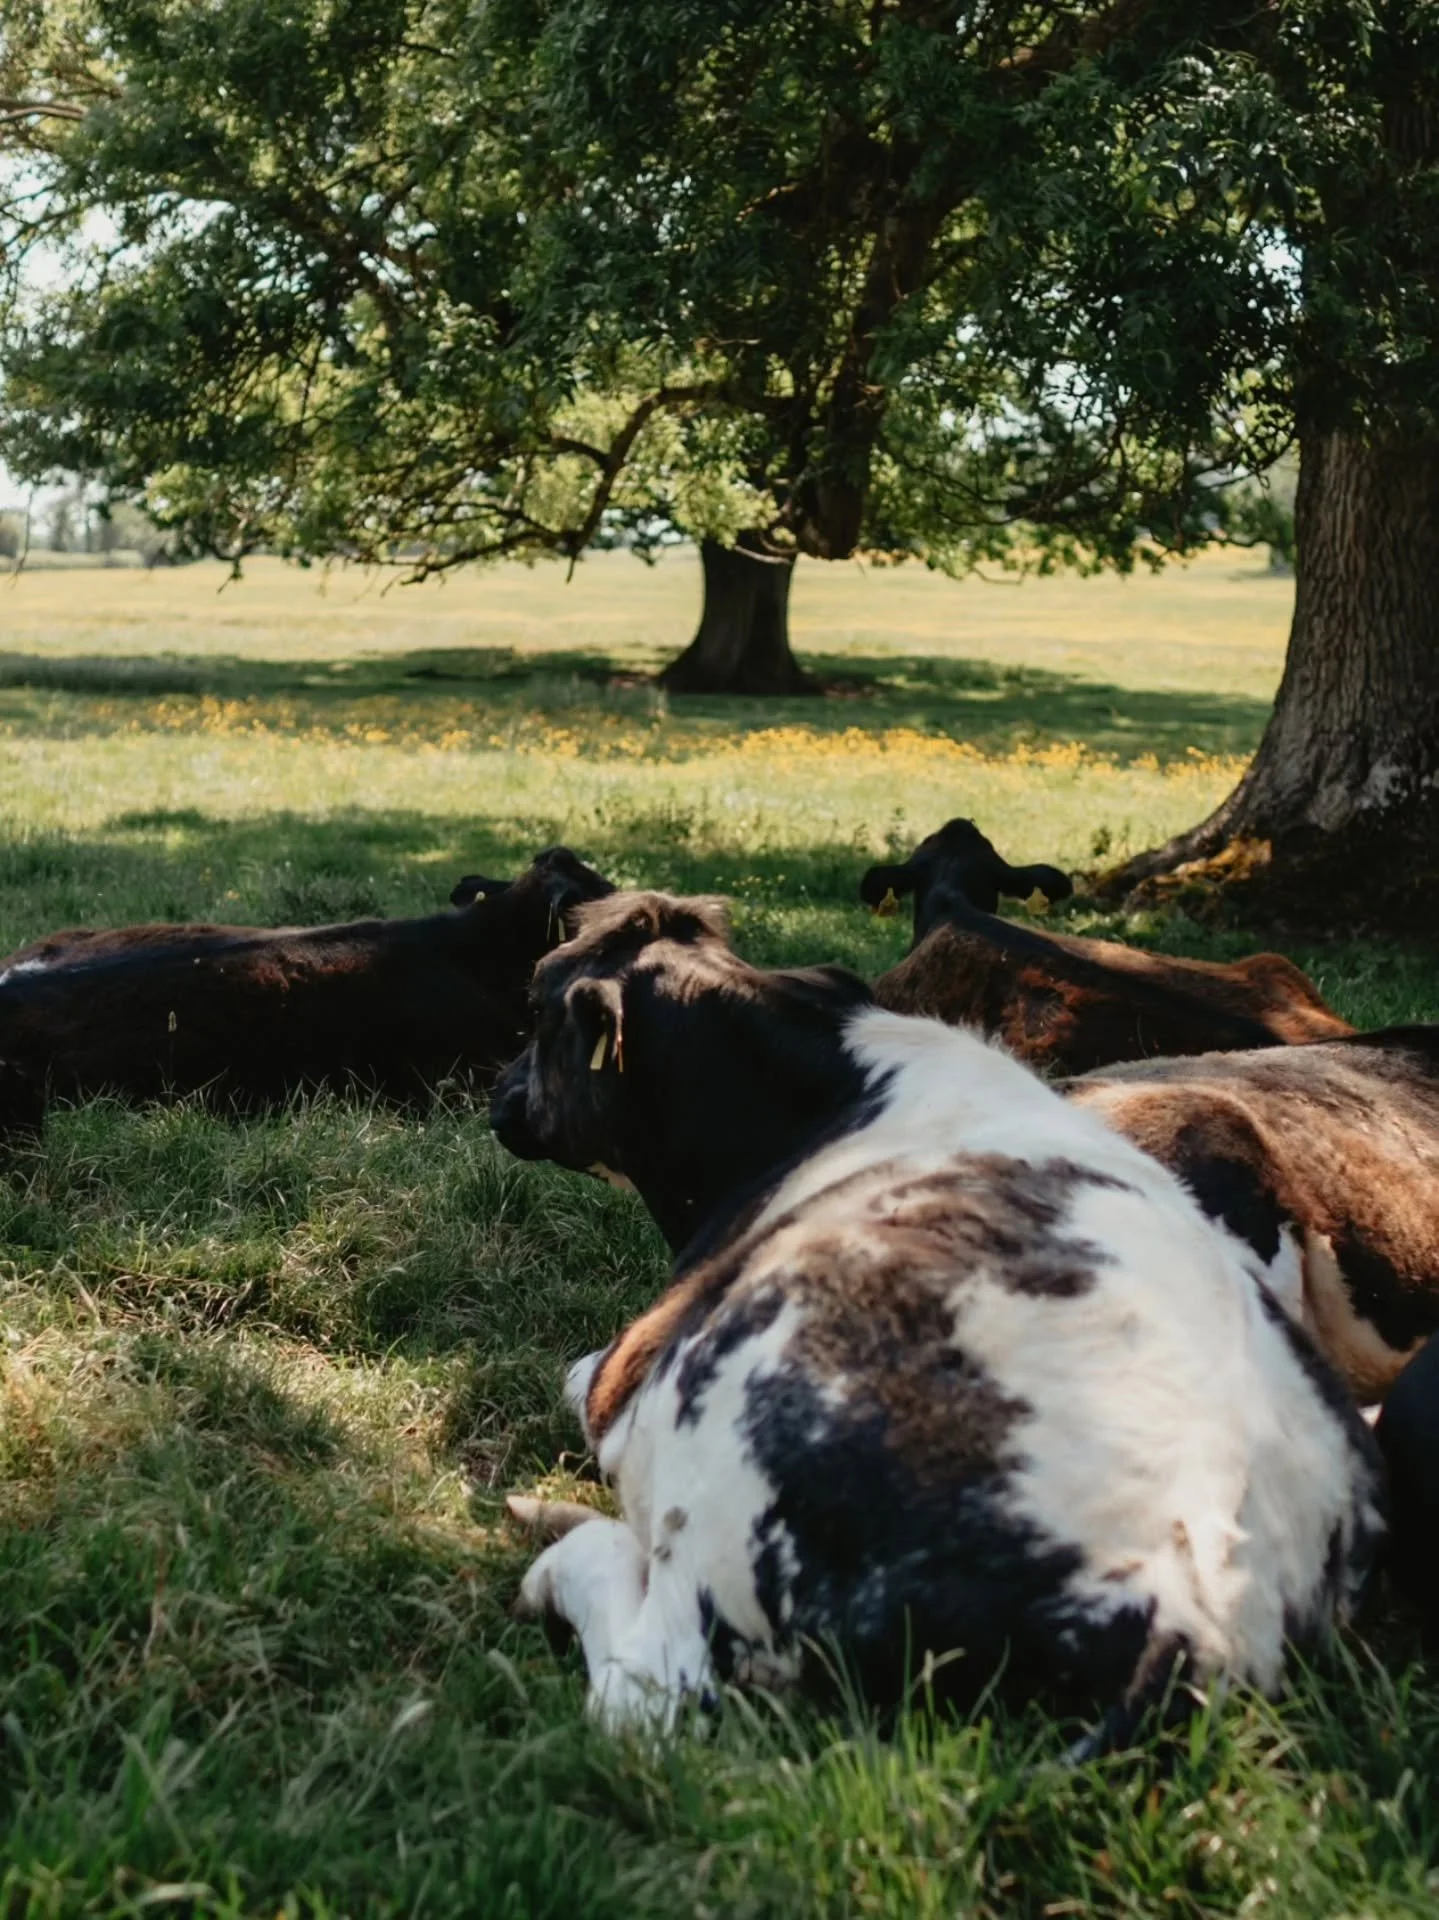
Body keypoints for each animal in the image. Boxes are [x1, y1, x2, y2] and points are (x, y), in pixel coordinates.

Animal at [490, 890, 1382, 1738]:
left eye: (535, 1001)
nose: (497, 1094)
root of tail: (1186, 1609)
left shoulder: (628, 1375)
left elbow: (577, 1376)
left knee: (643, 1692)